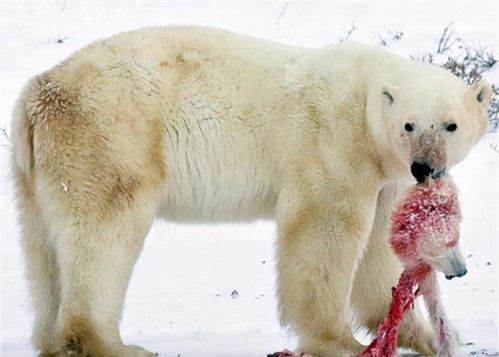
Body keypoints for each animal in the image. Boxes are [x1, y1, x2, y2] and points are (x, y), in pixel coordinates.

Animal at [10, 27, 492, 356]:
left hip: (37, 168)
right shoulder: (334, 145)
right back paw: (111, 344)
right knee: (103, 234)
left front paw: (423, 337)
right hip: (111, 137)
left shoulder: (385, 177)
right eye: (409, 124)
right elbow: (325, 233)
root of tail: (39, 90)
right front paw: (339, 341)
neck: (366, 100)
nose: (424, 167)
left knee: (43, 247)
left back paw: (52, 338)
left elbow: (379, 251)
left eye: (450, 124)